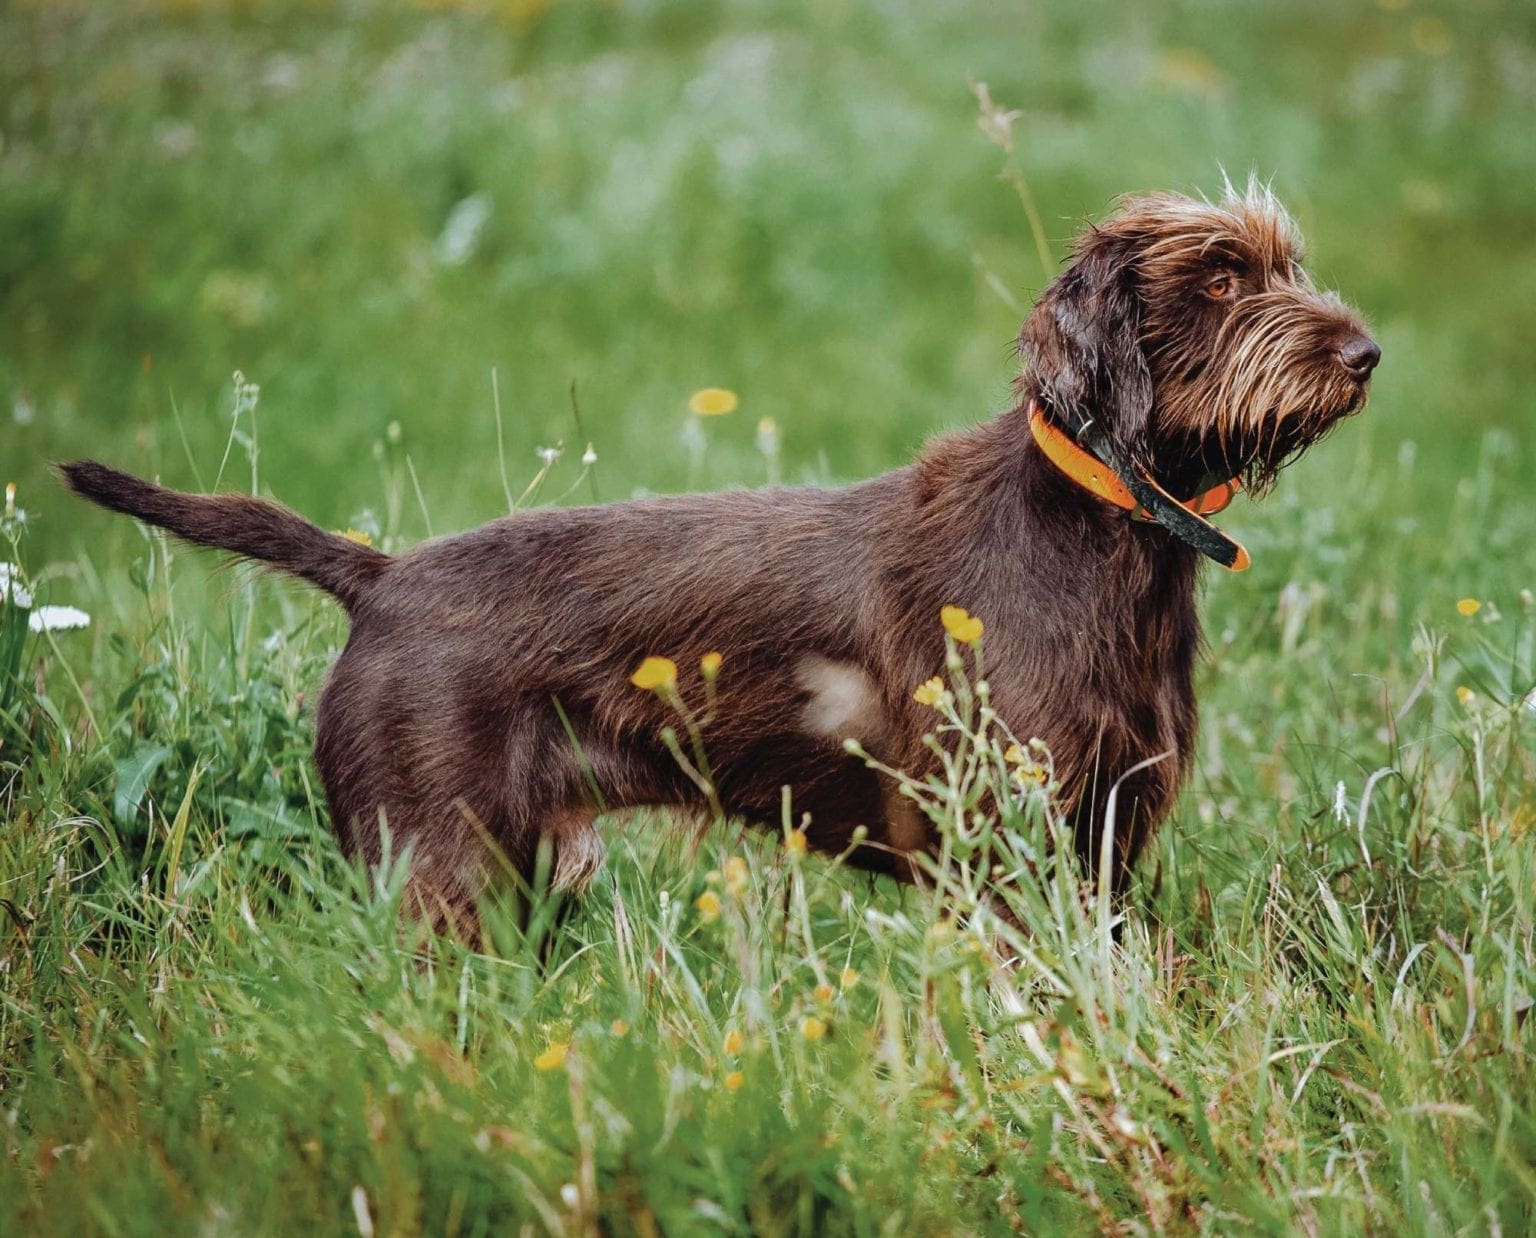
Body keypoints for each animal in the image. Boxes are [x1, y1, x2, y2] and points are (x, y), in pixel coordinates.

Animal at [62, 186, 1382, 933]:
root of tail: (382, 578)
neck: (1103, 523)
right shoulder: (1000, 836)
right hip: (437, 865)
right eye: (1220, 277)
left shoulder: (1101, 830)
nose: (1366, 351)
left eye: (1286, 263)